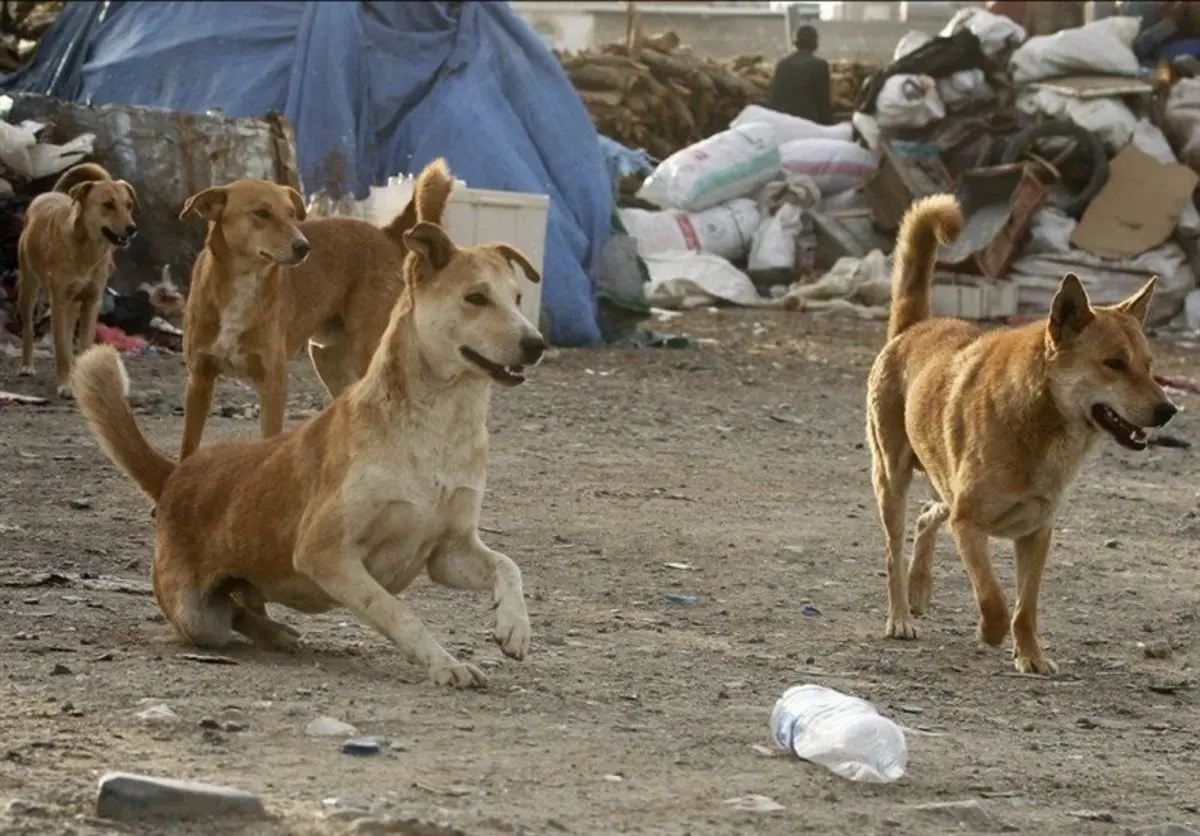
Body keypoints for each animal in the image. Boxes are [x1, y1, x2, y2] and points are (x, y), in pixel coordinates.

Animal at [16, 164, 138, 400]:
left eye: (128, 205)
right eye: (108, 204)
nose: (132, 229)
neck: (87, 250)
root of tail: (49, 193)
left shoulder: (91, 301)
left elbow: (84, 345)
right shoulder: (59, 303)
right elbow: (62, 349)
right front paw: (65, 385)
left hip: (73, 303)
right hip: (28, 287)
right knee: (28, 327)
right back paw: (27, 366)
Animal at [72, 200, 547, 686]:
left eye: (517, 299)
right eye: (476, 298)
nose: (537, 344)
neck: (441, 427)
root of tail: (176, 474)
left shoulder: (448, 552)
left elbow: (507, 565)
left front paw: (515, 627)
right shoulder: (325, 552)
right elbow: (399, 613)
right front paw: (444, 663)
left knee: (243, 606)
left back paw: (277, 632)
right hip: (197, 615)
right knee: (227, 617)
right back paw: (275, 632)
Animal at [178, 155, 453, 455]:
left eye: (290, 214)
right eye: (261, 213)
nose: (303, 247)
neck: (244, 283)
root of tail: (385, 233)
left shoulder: (273, 383)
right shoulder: (199, 379)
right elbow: (188, 446)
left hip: (366, 351)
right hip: (327, 358)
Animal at [868, 194, 1176, 671]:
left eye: (1149, 365)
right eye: (1114, 364)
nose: (1169, 410)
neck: (1041, 421)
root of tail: (913, 327)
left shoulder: (1037, 533)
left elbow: (1025, 606)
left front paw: (1030, 656)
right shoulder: (969, 524)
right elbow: (993, 600)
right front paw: (989, 633)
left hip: (942, 484)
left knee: (927, 514)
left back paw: (919, 590)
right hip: (891, 479)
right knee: (893, 551)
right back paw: (901, 615)